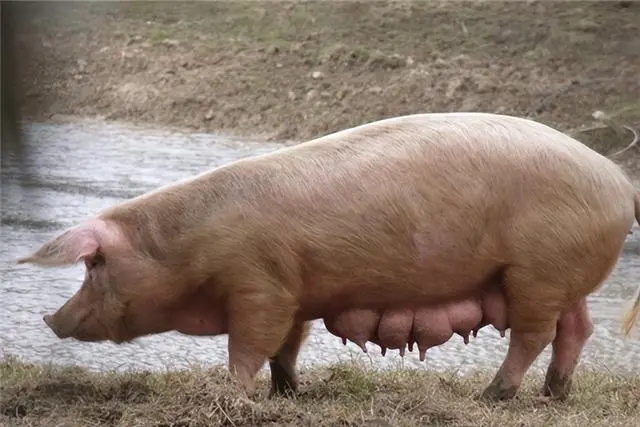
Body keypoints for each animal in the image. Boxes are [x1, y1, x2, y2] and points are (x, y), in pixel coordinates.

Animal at [15, 112, 640, 402]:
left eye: (93, 265)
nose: (49, 318)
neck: (184, 250)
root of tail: (620, 181)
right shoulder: (292, 293)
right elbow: (286, 347)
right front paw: (288, 393)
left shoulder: (259, 286)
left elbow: (249, 346)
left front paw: (234, 395)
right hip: (561, 277)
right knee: (576, 329)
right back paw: (554, 394)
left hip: (537, 271)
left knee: (534, 335)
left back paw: (493, 396)